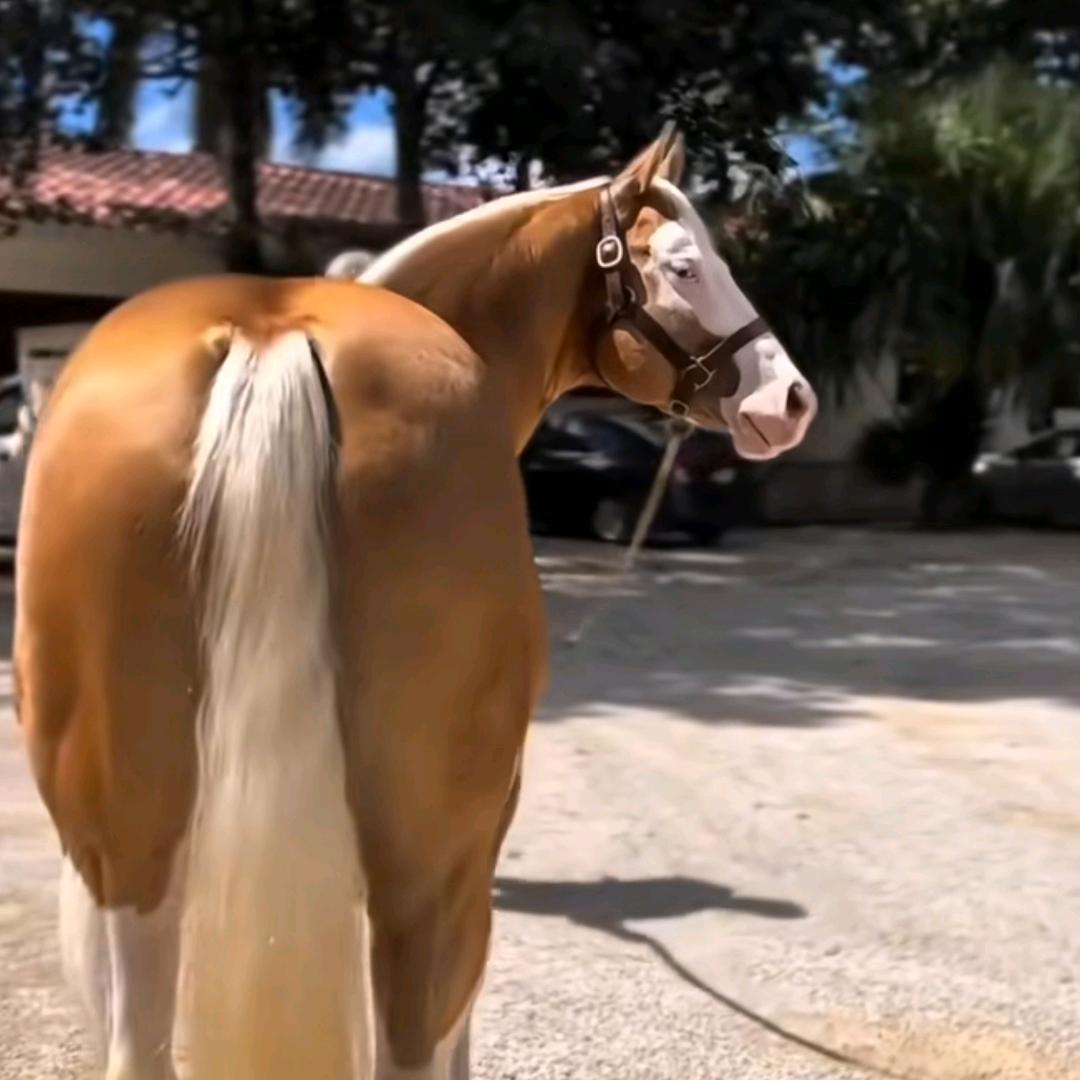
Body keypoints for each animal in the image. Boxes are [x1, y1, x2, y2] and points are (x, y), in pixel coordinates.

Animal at [15, 126, 816, 1080]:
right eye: (685, 266)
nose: (791, 400)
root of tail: (273, 336)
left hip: (126, 857)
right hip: (428, 872)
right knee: (410, 1031)